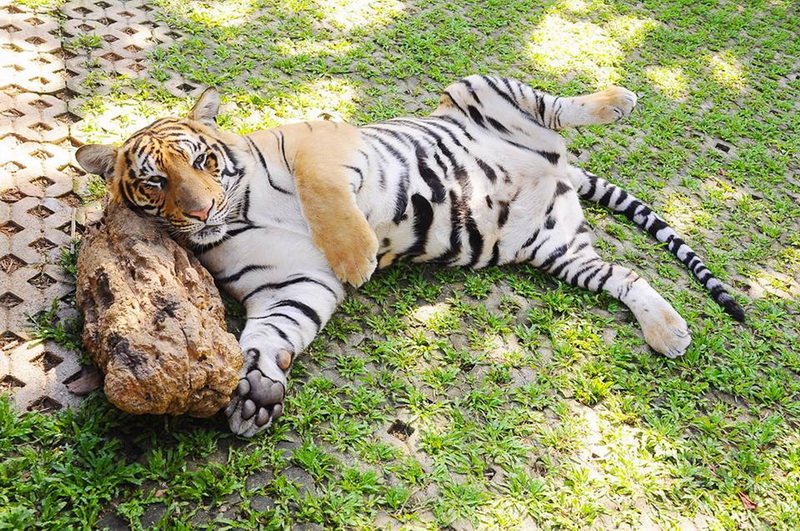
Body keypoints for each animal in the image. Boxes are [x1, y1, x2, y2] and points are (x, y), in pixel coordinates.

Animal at [75, 75, 745, 437]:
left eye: (204, 161)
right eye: (155, 182)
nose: (200, 211)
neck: (239, 212)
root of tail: (560, 170)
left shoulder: (322, 145)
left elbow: (324, 199)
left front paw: (359, 258)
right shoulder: (290, 284)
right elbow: (270, 333)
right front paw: (253, 392)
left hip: (483, 89)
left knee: (557, 107)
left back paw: (616, 100)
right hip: (555, 248)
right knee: (625, 275)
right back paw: (668, 330)